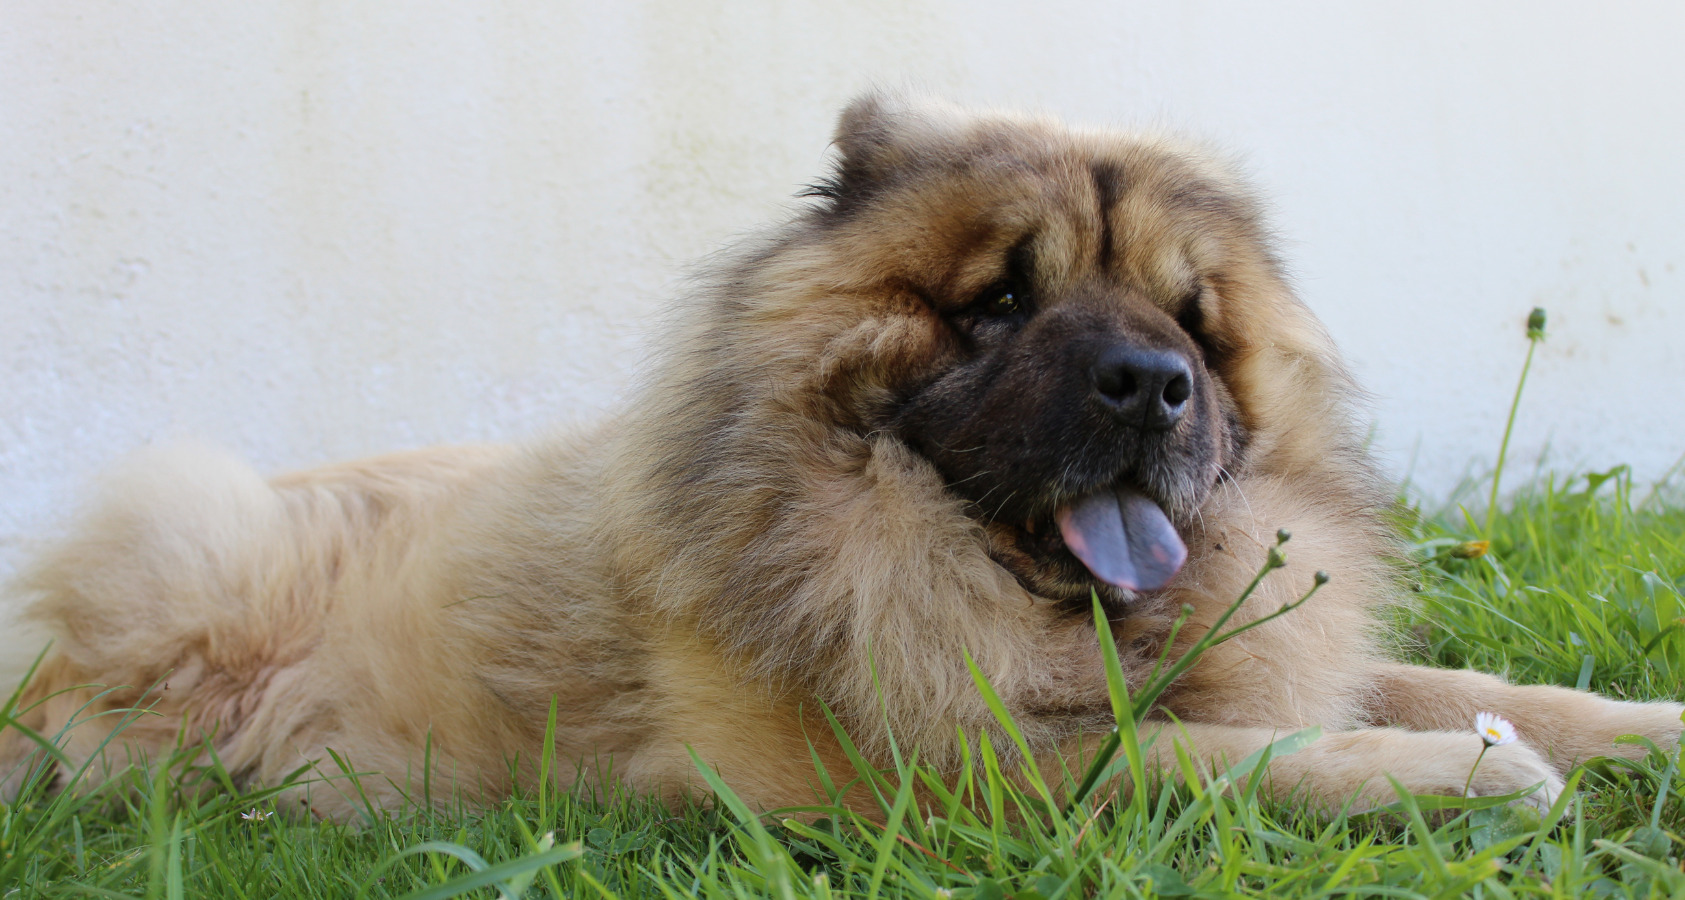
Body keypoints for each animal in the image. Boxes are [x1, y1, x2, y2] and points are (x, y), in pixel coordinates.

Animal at [3, 95, 1685, 822]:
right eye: (998, 304)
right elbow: (1209, 752)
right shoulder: (936, 770)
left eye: (1192, 327)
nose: (1150, 385)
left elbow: (1462, 688)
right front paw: (1464, 778)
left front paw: (1626, 733)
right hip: (190, 546)